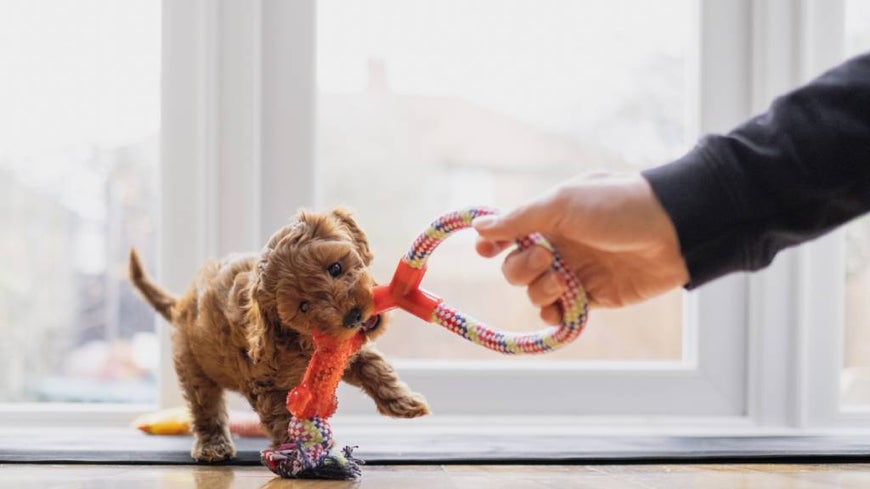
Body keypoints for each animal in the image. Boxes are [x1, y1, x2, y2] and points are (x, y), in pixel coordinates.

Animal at [129, 207, 430, 462]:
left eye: (335, 268)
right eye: (304, 307)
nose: (352, 316)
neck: (302, 338)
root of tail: (182, 304)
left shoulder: (347, 349)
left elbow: (375, 368)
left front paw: (404, 402)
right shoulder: (266, 383)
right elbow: (281, 415)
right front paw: (301, 451)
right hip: (193, 364)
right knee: (205, 407)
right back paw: (212, 446)